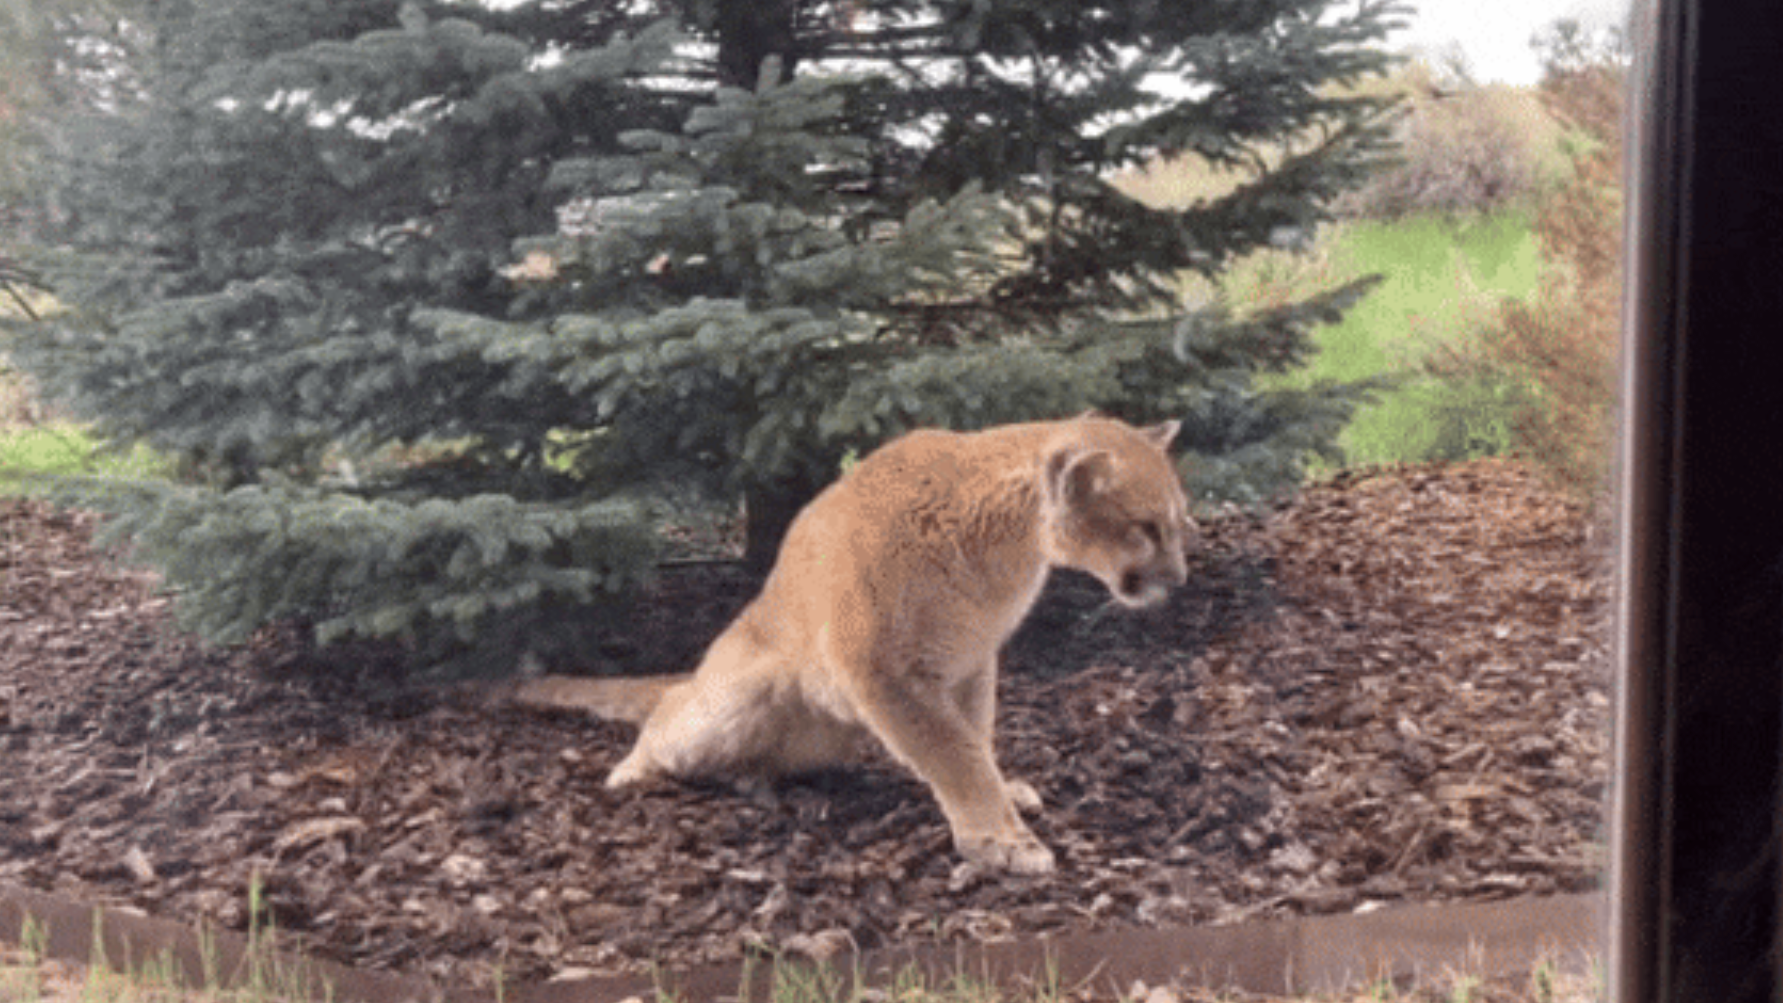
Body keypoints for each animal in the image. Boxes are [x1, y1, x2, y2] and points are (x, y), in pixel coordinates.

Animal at [509, 413, 1191, 872]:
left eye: (1178, 524)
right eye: (1145, 527)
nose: (1181, 577)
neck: (1009, 547)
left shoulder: (971, 661)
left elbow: (974, 736)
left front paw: (1003, 796)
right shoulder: (883, 668)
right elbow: (955, 754)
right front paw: (1001, 840)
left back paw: (752, 779)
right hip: (732, 704)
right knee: (674, 710)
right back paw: (635, 771)